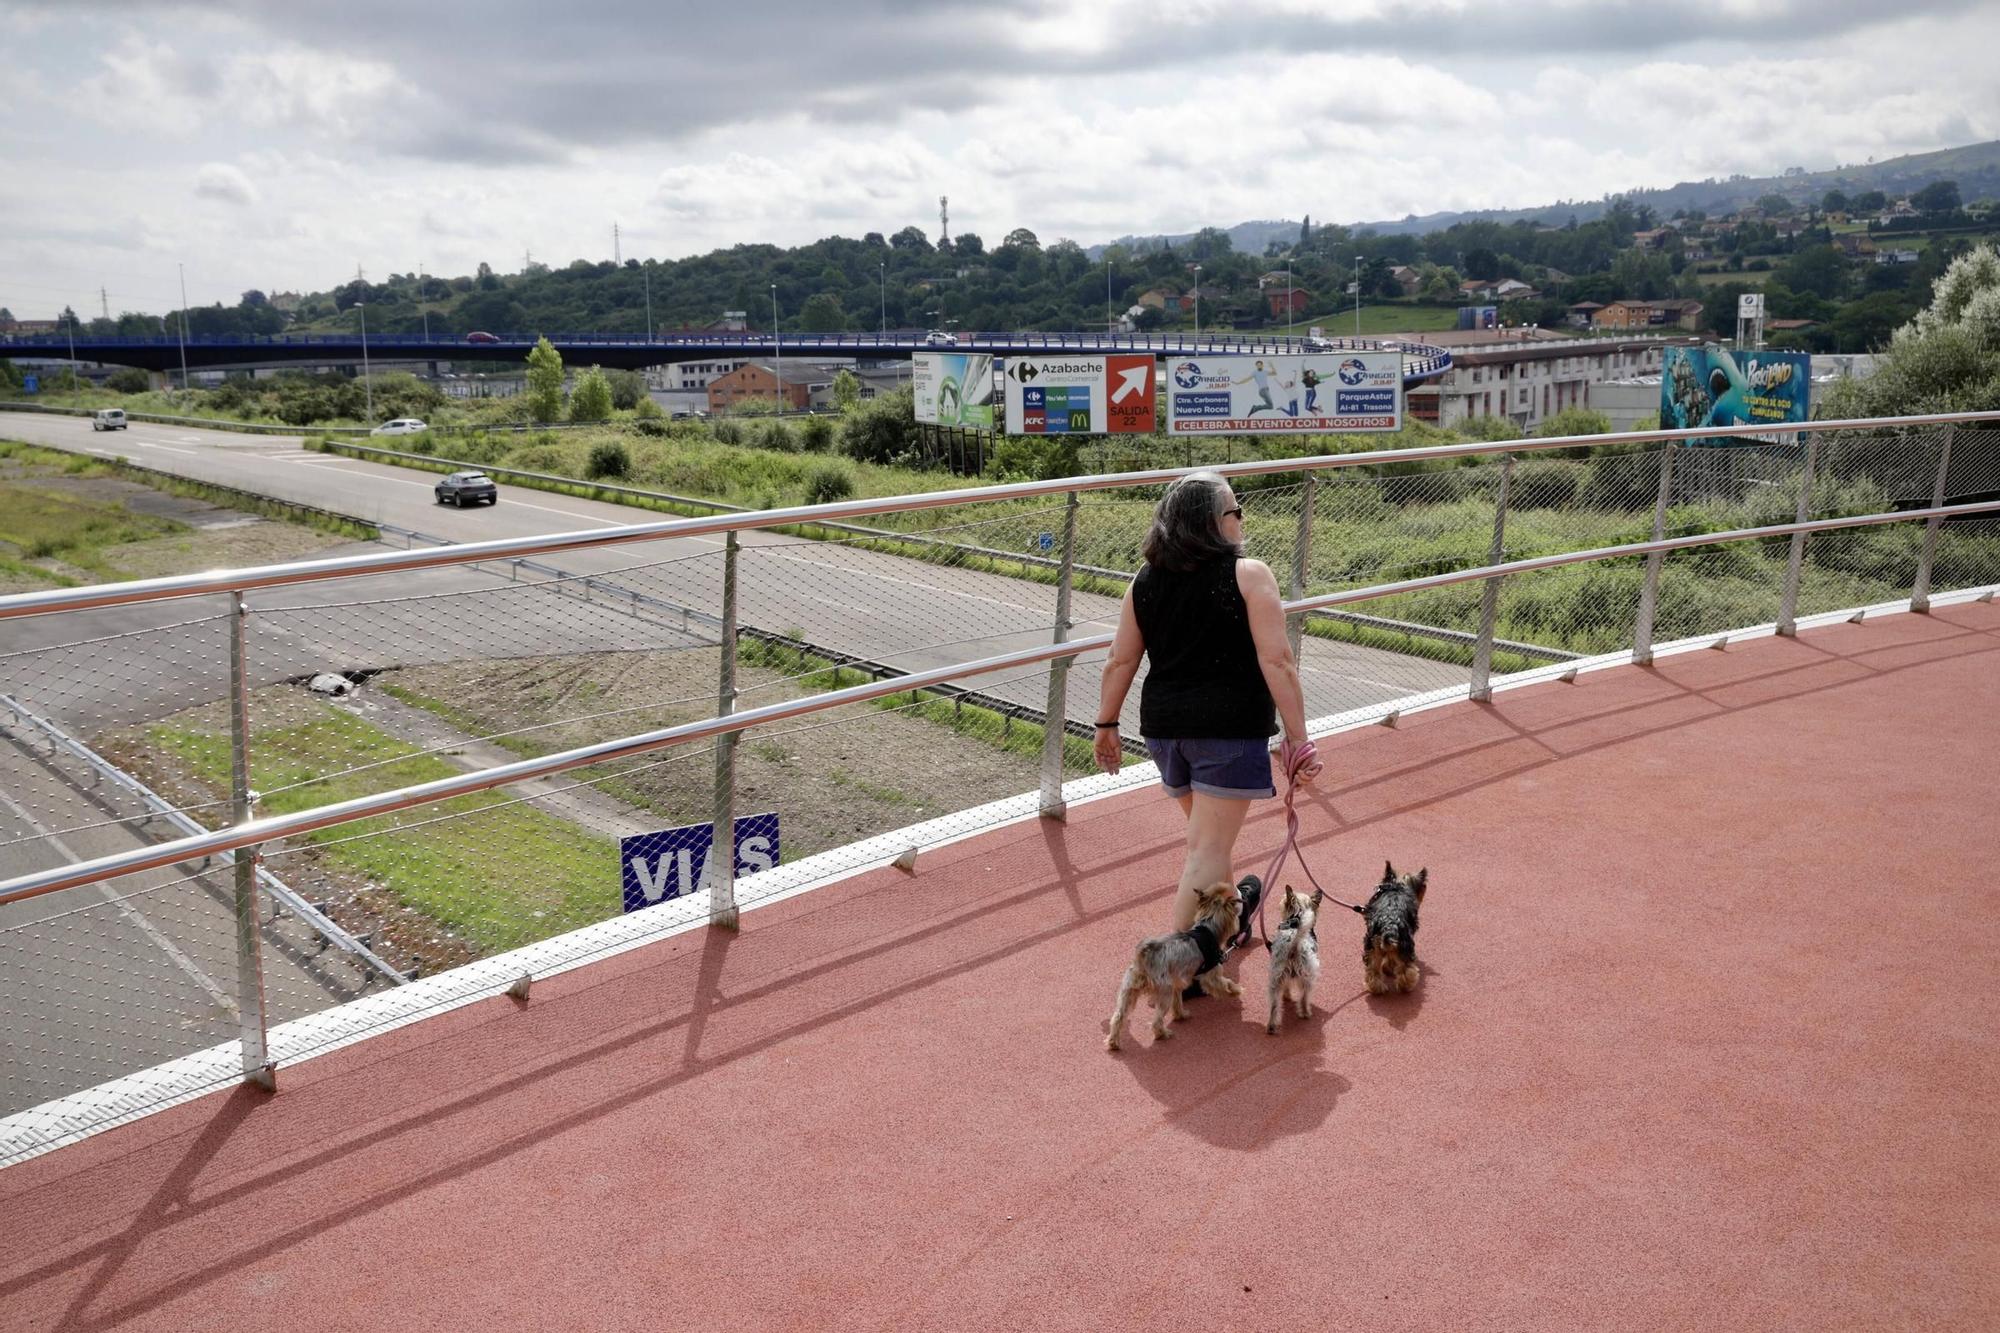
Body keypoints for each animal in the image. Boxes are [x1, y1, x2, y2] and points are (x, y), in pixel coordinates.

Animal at [1360, 856, 1424, 992]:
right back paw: (1406, 986)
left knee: (1372, 969)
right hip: (1405, 943)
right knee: (1406, 969)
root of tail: (1389, 926)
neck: (1395, 885)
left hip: (1372, 944)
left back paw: (1376, 988)